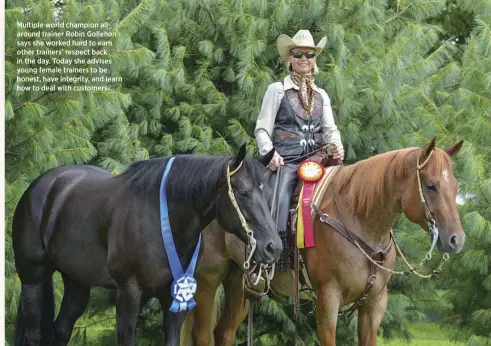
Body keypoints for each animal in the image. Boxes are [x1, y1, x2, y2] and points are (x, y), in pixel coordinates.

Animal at [13, 145, 282, 344]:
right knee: (34, 334)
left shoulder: (175, 300)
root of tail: (43, 185)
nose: (273, 247)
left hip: (77, 283)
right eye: (243, 192)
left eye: (270, 194)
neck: (161, 220)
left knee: (61, 329)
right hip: (33, 280)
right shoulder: (129, 294)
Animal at [184, 138, 466, 346]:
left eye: (456, 186)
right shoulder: (328, 298)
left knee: (224, 333)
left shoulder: (374, 304)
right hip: (207, 280)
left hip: (240, 283)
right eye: (430, 185)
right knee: (202, 335)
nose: (456, 239)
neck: (359, 218)